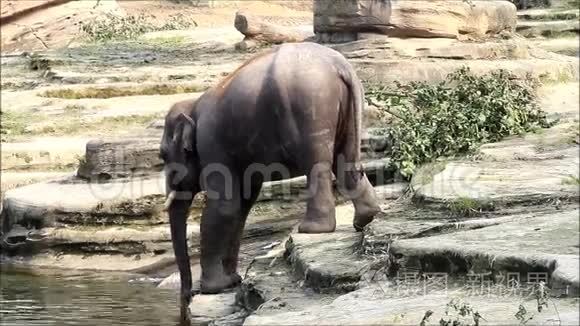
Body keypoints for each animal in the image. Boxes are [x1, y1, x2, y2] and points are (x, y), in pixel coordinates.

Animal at [160, 41, 380, 310]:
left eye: (163, 155)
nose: (188, 295)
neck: (193, 105)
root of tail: (340, 65)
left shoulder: (212, 144)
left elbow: (225, 206)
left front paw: (214, 288)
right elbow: (242, 205)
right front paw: (232, 280)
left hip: (310, 109)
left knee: (317, 165)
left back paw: (311, 229)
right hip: (346, 111)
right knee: (345, 161)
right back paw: (365, 219)